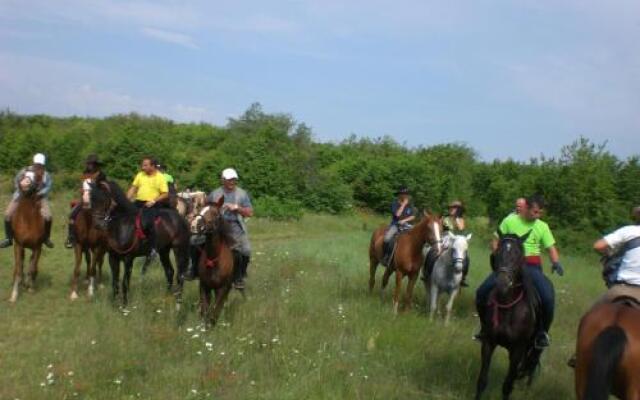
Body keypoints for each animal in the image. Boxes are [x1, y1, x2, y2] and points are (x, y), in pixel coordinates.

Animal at [8, 175, 46, 304]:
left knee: (30, 265)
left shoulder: (37, 247)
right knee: (19, 266)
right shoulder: (19, 245)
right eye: (23, 176)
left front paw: (31, 287)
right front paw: (14, 295)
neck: (28, 219)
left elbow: (32, 268)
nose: (25, 184)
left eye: (37, 176)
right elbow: (19, 270)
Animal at [86, 180, 190, 308]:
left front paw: (124, 306)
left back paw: (178, 302)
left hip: (179, 249)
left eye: (104, 199)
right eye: (91, 200)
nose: (97, 224)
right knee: (169, 272)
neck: (122, 225)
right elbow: (115, 282)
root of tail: (181, 218)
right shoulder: (113, 258)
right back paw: (167, 297)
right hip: (163, 251)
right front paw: (115, 303)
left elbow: (125, 282)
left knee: (180, 275)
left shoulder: (128, 259)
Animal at [472, 231, 544, 400]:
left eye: (518, 255)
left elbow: (507, 386)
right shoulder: (488, 343)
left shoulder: (517, 350)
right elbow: (482, 380)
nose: (502, 283)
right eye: (497, 253)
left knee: (531, 364)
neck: (508, 307)